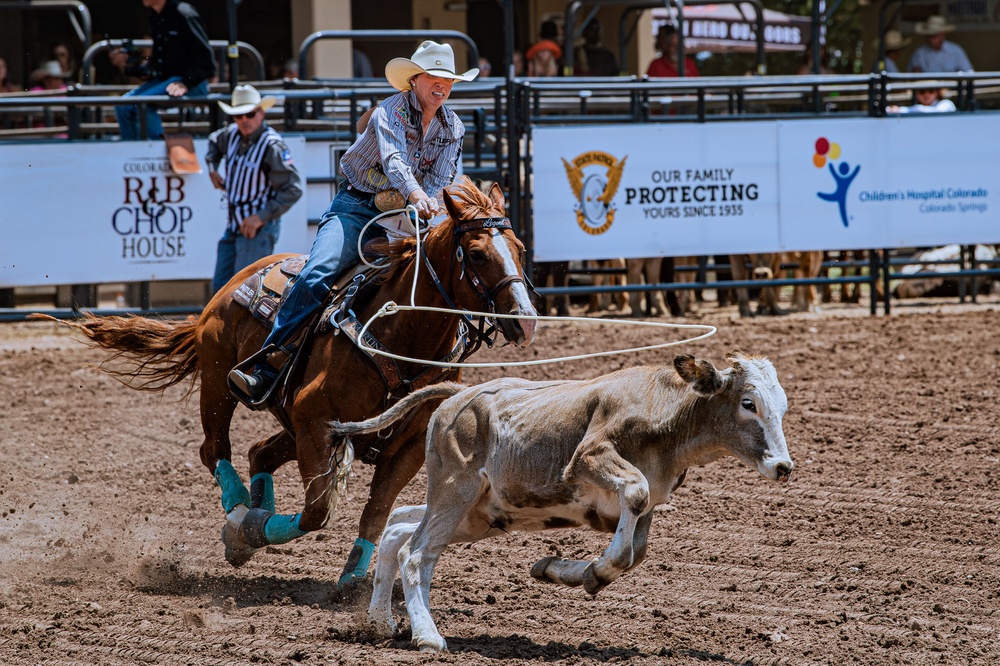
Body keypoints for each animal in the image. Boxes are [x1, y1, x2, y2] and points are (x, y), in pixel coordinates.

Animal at [45, 179, 540, 584]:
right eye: (476, 253)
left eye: (519, 248)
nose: (526, 320)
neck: (398, 335)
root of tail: (233, 284)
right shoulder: (314, 420)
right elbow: (318, 510)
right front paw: (252, 531)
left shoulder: (406, 445)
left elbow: (377, 508)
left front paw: (353, 577)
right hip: (220, 384)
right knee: (215, 449)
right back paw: (241, 514)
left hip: (294, 421)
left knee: (258, 451)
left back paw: (253, 514)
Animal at [332, 350, 792, 652]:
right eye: (749, 403)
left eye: (783, 408)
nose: (784, 466)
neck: (666, 415)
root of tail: (459, 395)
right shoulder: (588, 458)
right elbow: (633, 500)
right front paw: (587, 573)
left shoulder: (647, 506)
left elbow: (634, 551)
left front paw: (560, 569)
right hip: (453, 491)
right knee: (415, 554)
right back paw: (427, 635)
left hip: (477, 515)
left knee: (398, 528)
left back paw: (381, 623)